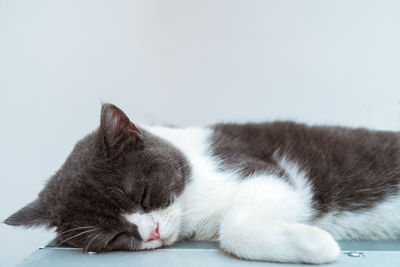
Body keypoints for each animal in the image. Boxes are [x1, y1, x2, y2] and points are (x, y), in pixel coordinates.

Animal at [3, 103, 400, 264]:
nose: (151, 232)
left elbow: (234, 225)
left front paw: (318, 244)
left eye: (142, 194)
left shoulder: (259, 167)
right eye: (113, 236)